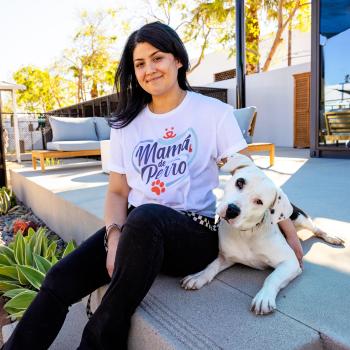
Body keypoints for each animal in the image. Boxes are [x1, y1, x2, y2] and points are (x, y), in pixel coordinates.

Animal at [182, 153, 344, 314]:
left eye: (259, 201)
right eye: (240, 182)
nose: (232, 210)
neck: (246, 233)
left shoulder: (290, 263)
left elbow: (272, 278)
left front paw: (264, 297)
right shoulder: (226, 257)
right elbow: (212, 266)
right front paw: (199, 276)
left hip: (300, 218)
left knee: (316, 229)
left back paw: (331, 237)